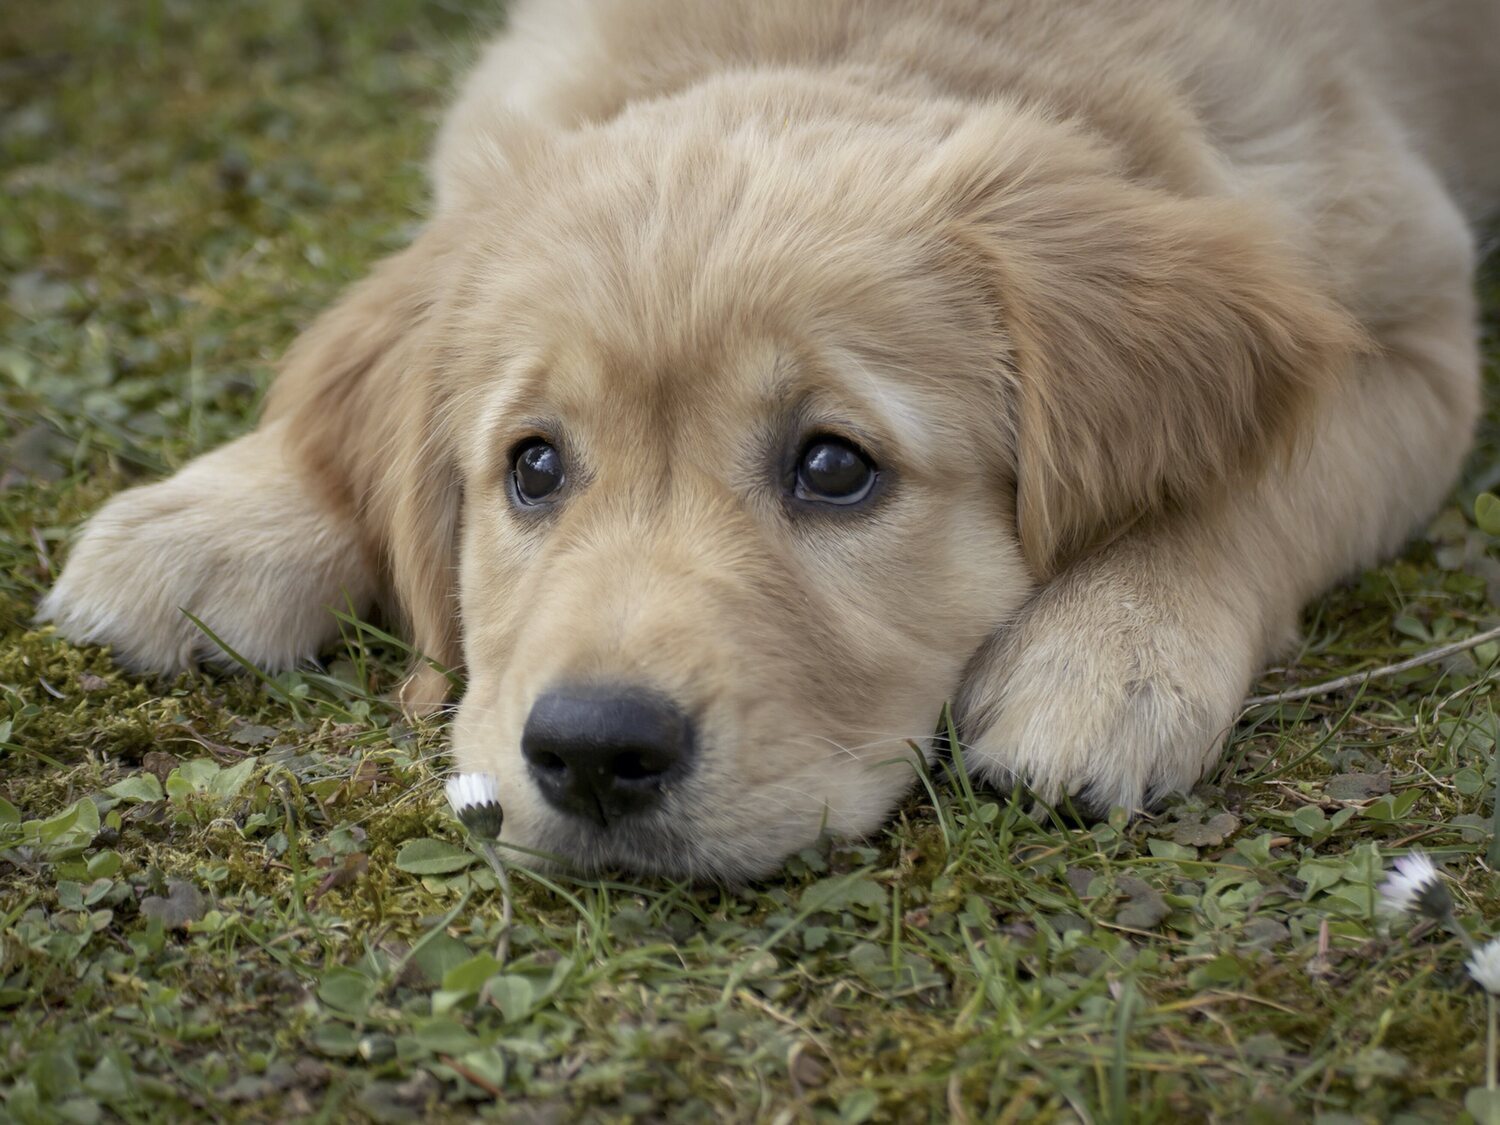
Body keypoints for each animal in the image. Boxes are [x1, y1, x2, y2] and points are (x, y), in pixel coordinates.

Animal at [35, 0, 1500, 882]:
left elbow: (1262, 479)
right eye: (532, 465)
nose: (593, 753)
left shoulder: (1417, 325)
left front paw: (1115, 644)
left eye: (835, 467)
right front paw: (222, 515)